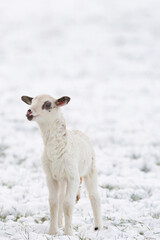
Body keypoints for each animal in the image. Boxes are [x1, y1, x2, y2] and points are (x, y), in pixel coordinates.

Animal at [21, 94, 102, 234]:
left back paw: (98, 228)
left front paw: (68, 233)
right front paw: (52, 232)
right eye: (31, 102)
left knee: (94, 196)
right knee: (60, 198)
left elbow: (68, 204)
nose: (29, 111)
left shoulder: (73, 177)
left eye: (47, 104)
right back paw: (59, 224)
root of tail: (79, 131)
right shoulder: (50, 177)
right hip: (62, 178)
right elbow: (53, 203)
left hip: (90, 170)